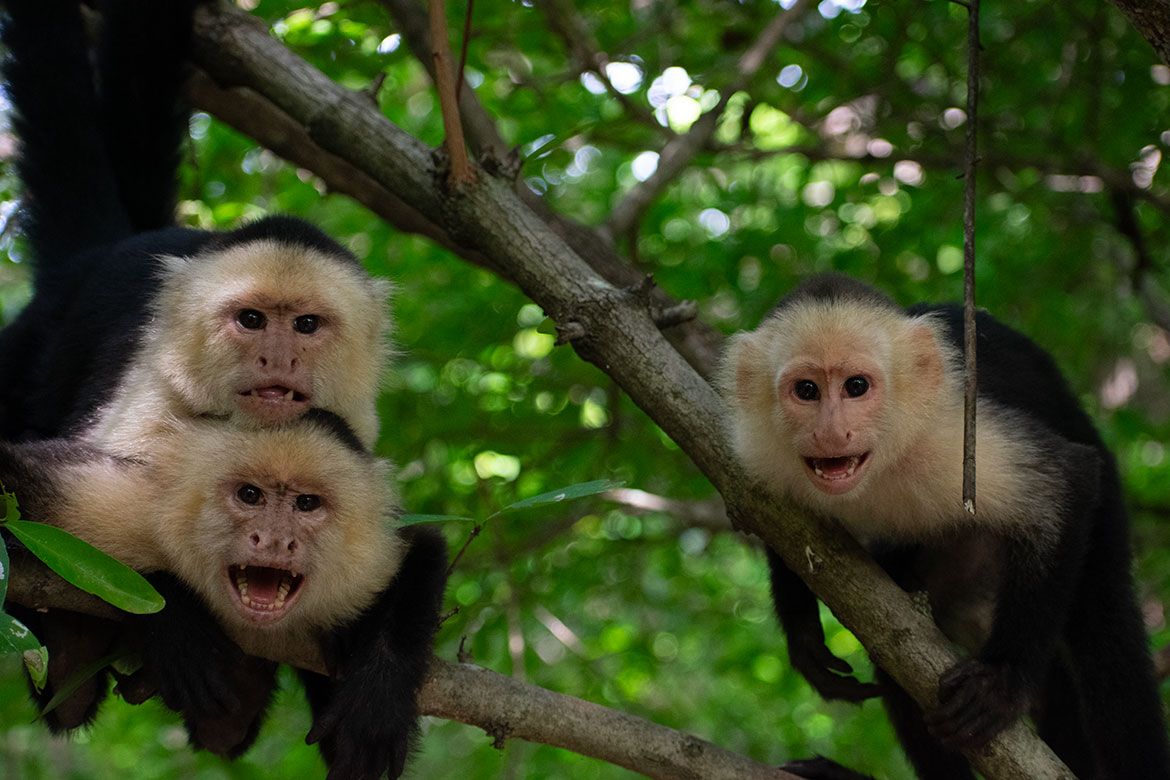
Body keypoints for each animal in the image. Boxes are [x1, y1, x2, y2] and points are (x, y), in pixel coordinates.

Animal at [1, 410, 447, 776]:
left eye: (307, 503)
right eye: (250, 495)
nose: (274, 539)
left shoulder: (363, 562)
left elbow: (423, 548)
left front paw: (377, 700)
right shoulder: (124, 505)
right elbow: (14, 480)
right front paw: (176, 620)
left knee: (225, 730)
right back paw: (71, 644)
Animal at [722, 274, 1170, 779]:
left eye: (856, 386)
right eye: (806, 390)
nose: (831, 433)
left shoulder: (951, 433)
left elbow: (1068, 481)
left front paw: (1002, 681)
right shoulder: (761, 450)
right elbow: (776, 522)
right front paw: (803, 635)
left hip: (1104, 506)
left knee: (1106, 635)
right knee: (891, 635)